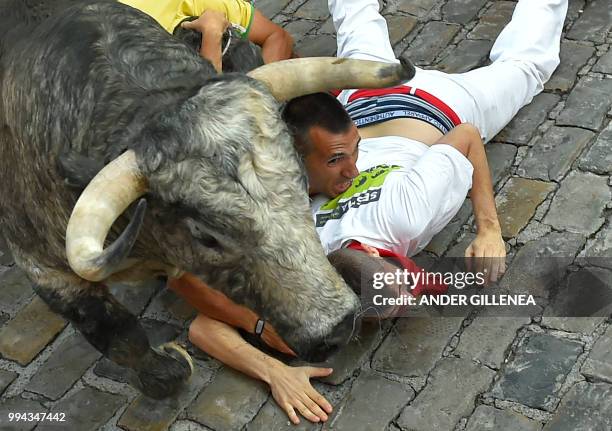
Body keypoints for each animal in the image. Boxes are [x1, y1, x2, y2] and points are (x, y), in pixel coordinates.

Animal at [0, 0, 414, 398]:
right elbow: (120, 336)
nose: (339, 325)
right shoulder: (45, 268)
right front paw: (168, 369)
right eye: (206, 235)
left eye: (300, 177)